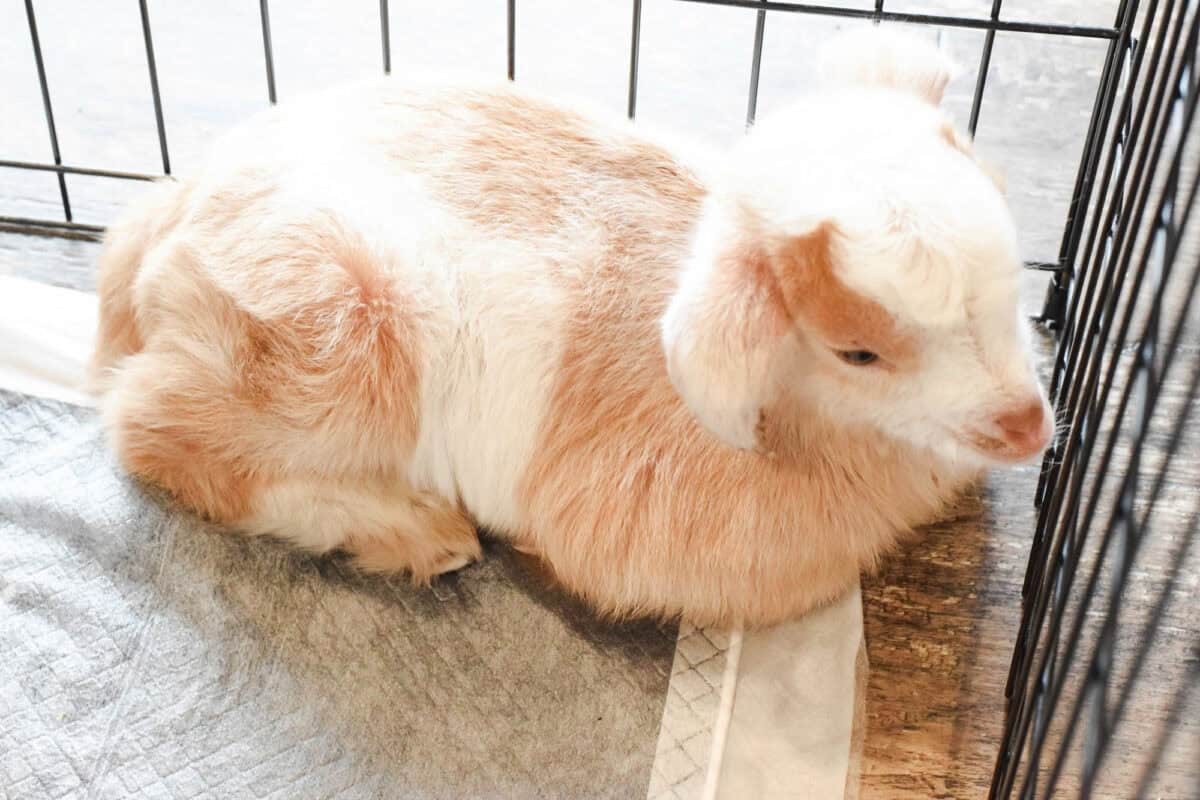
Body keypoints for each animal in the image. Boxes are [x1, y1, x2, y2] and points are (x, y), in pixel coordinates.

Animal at [93, 31, 1051, 628]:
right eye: (858, 351)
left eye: (1009, 263)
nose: (1028, 429)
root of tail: (172, 210)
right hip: (338, 343)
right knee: (152, 433)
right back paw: (418, 535)